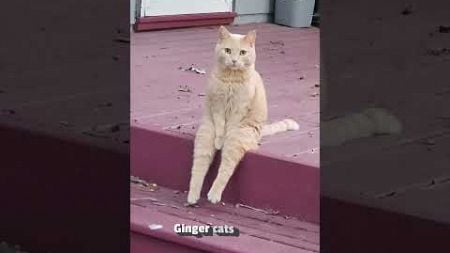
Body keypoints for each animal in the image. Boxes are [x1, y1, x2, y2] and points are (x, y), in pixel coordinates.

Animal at [186, 25, 298, 205]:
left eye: (242, 52)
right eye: (228, 50)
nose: (233, 60)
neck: (231, 80)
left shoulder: (239, 109)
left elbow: (230, 127)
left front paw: (222, 140)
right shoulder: (217, 106)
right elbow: (220, 126)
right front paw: (219, 140)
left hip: (237, 139)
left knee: (226, 168)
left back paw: (213, 195)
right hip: (206, 135)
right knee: (199, 166)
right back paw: (193, 196)